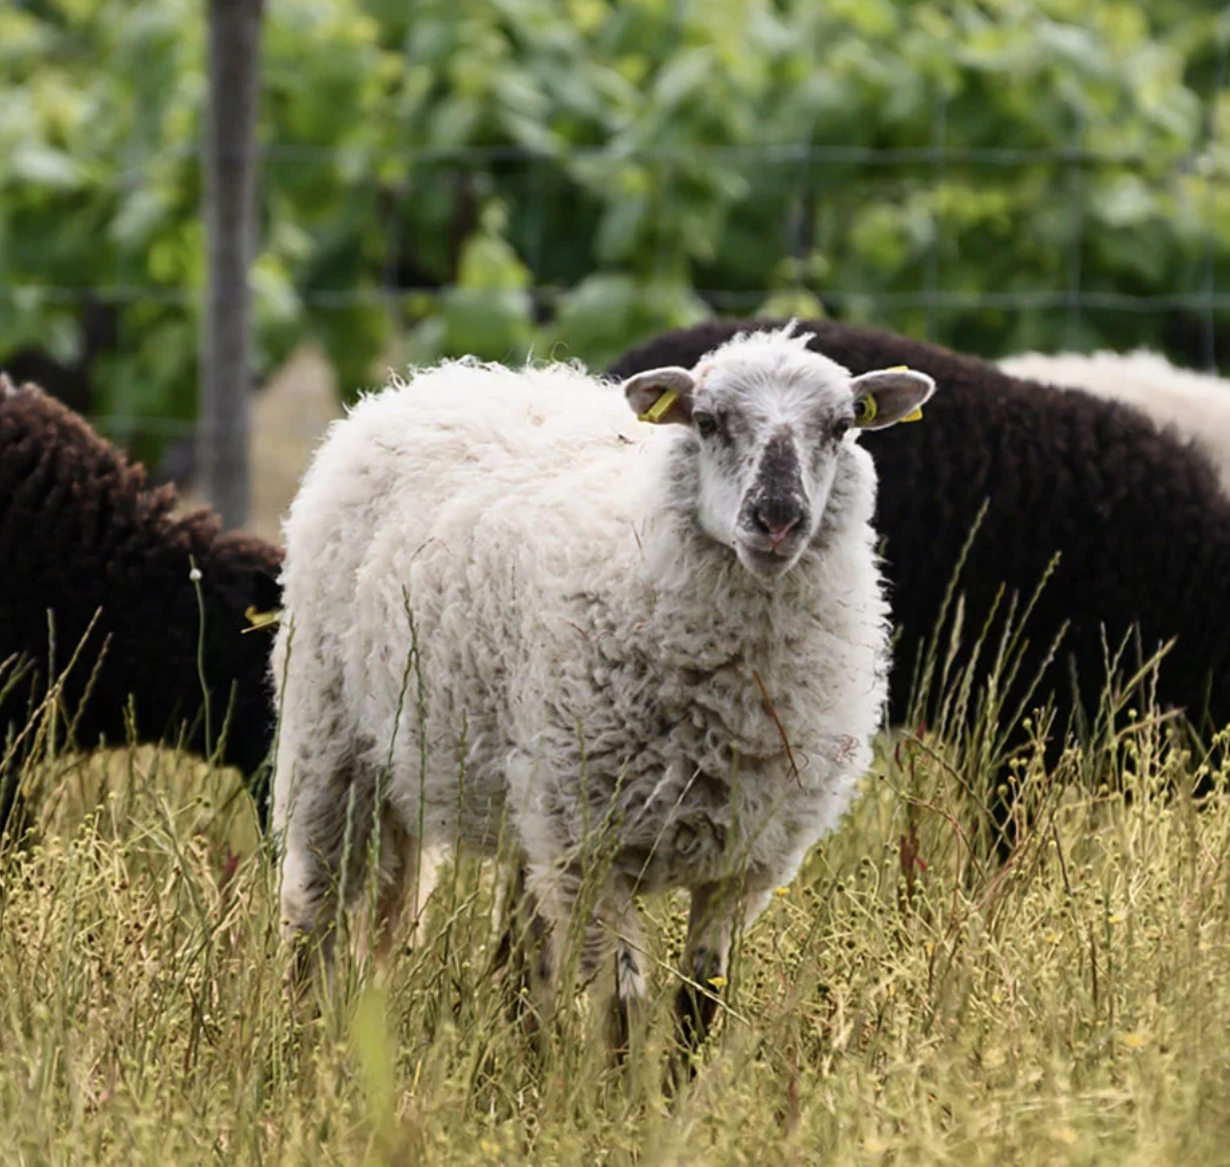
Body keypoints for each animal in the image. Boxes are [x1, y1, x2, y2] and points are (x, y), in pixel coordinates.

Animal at [271, 324, 929, 1047]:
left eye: (841, 426)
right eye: (707, 420)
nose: (778, 518)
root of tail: (432, 380)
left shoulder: (743, 862)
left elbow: (698, 1005)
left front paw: (681, 1078)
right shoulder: (591, 846)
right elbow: (623, 1012)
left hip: (527, 798)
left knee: (521, 947)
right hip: (331, 739)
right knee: (315, 909)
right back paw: (301, 1039)